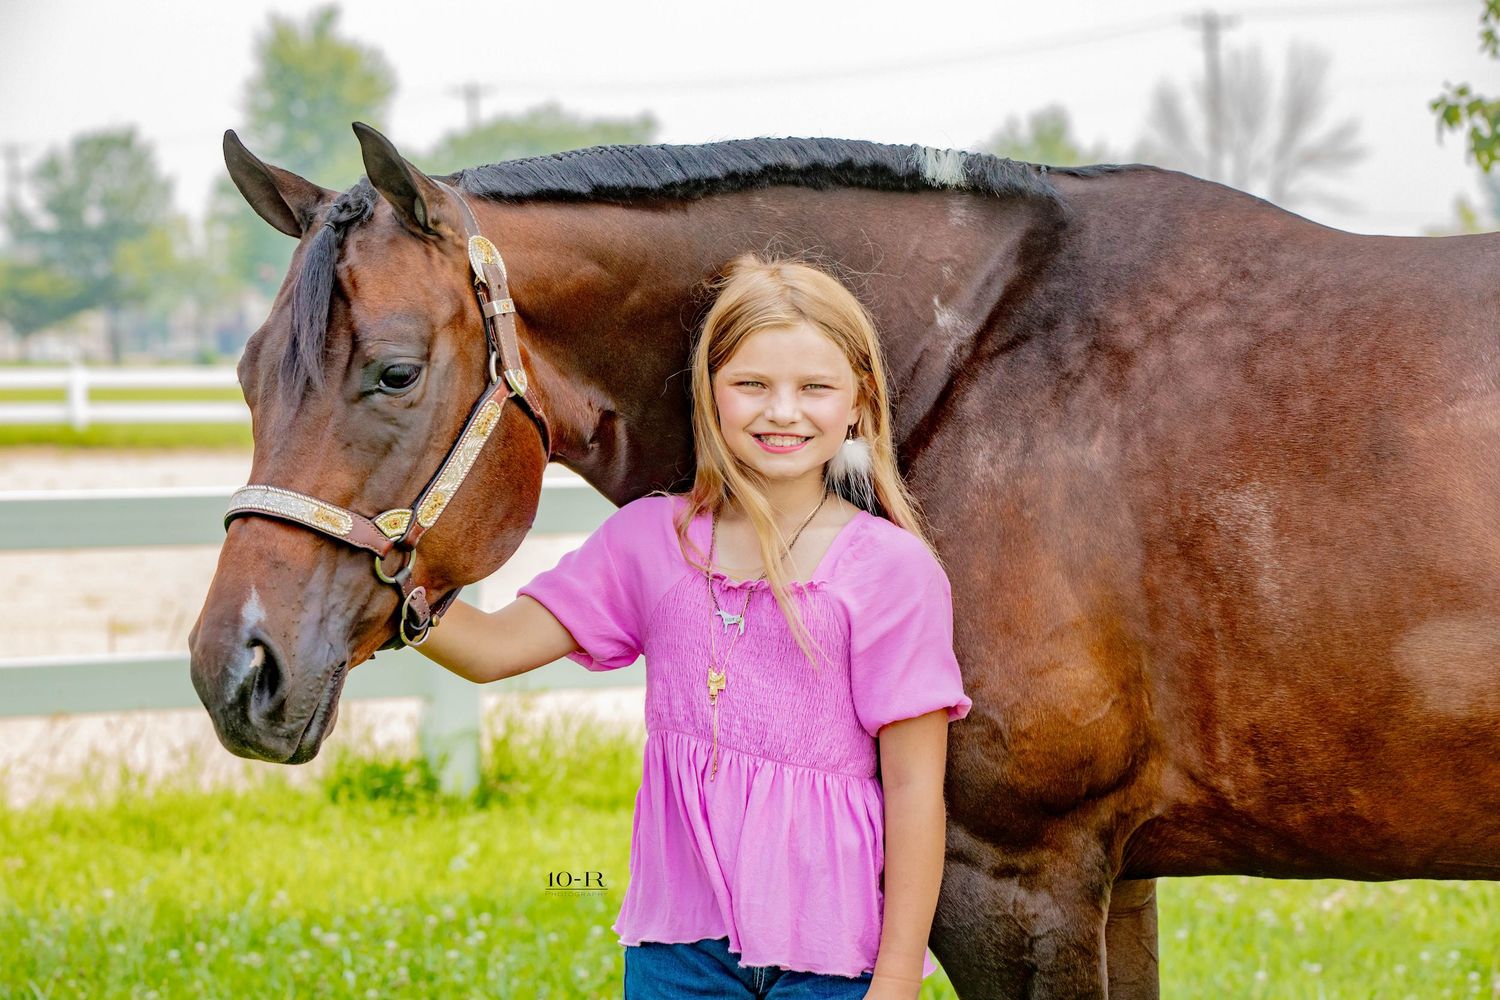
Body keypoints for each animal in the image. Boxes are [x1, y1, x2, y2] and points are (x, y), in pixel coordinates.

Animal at [189, 122, 1500, 998]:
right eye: (246, 375)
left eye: (394, 371)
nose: (233, 670)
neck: (975, 361)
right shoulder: (1117, 875)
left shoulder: (1017, 874)